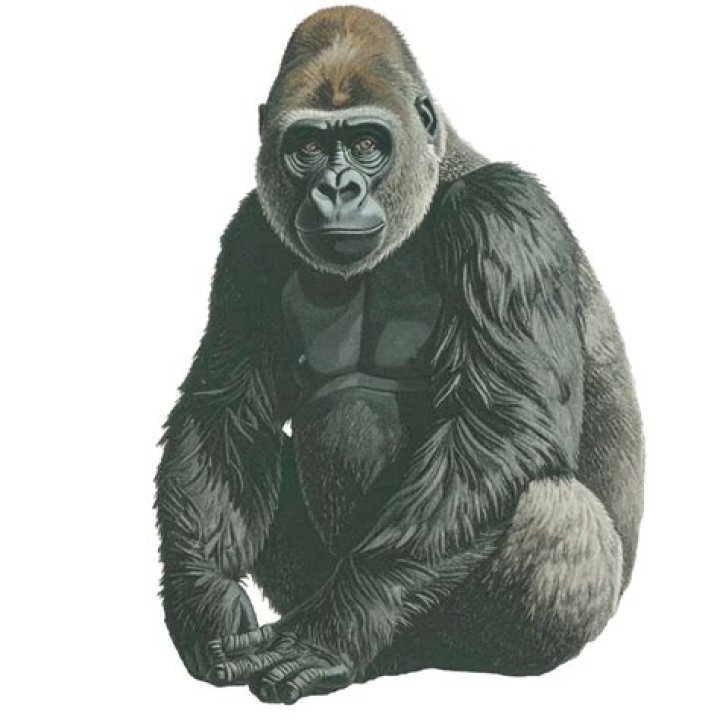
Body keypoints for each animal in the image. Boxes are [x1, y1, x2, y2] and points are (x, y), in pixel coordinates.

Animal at [154, 5, 643, 704]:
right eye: (308, 147)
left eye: (366, 144)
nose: (337, 188)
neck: (437, 179)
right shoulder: (248, 237)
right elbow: (224, 412)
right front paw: (205, 604)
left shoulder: (505, 215)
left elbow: (502, 423)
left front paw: (334, 630)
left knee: (551, 511)